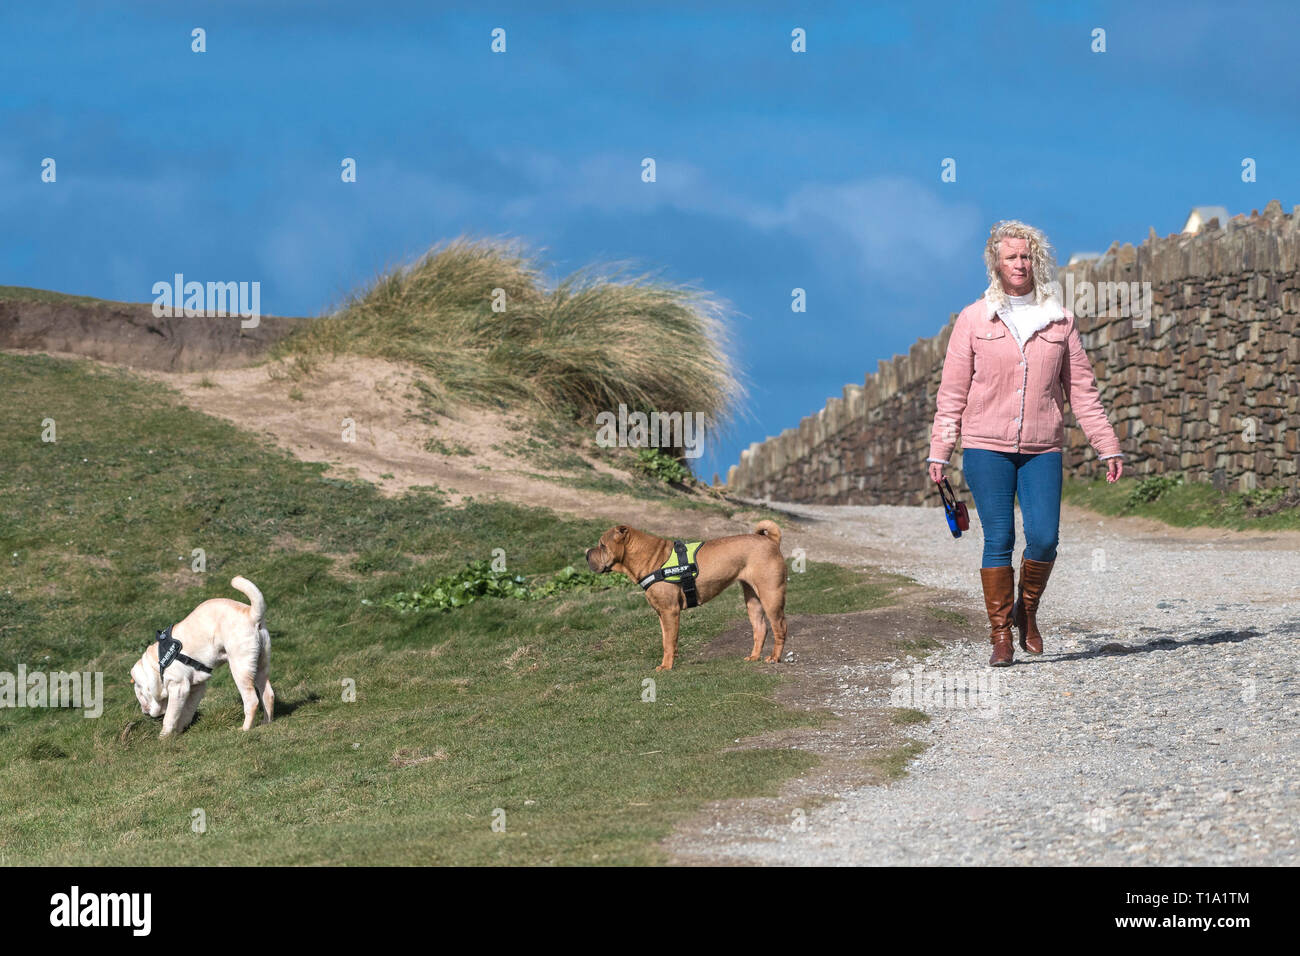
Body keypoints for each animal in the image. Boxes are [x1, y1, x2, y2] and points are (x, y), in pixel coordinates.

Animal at [130, 574, 273, 738]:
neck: (158, 664)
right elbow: (185, 713)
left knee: (252, 700)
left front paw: (163, 737)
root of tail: (251, 614)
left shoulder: (178, 687)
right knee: (268, 694)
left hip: (240, 668)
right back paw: (266, 723)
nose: (143, 711)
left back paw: (244, 729)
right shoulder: (196, 688)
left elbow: (170, 716)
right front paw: (178, 732)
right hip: (261, 666)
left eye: (140, 695)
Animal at [587, 520, 785, 671]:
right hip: (752, 600)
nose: (587, 553)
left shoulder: (670, 611)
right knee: (760, 628)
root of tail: (771, 541)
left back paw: (774, 657)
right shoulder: (662, 614)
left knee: (780, 628)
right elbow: (667, 639)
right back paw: (754, 656)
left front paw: (666, 667)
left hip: (770, 596)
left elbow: (668, 641)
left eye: (602, 545)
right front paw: (670, 661)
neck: (649, 557)